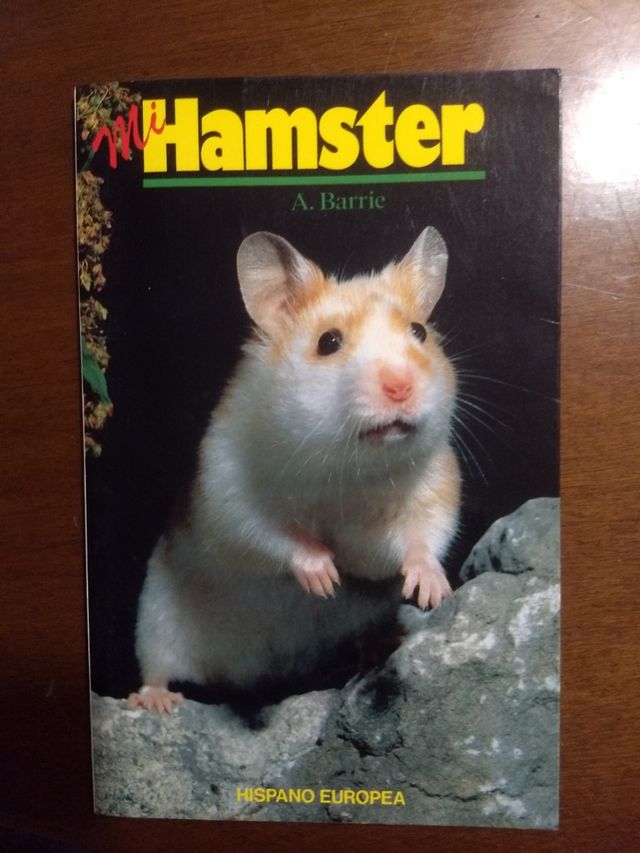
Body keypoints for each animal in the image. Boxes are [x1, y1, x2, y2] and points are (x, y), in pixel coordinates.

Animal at [128, 227, 460, 713]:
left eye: (419, 332)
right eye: (328, 342)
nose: (402, 387)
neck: (344, 464)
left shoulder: (434, 483)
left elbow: (420, 535)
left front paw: (432, 590)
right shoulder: (228, 490)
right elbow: (272, 533)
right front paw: (324, 578)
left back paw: (381, 642)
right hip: (155, 618)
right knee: (157, 665)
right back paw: (157, 702)